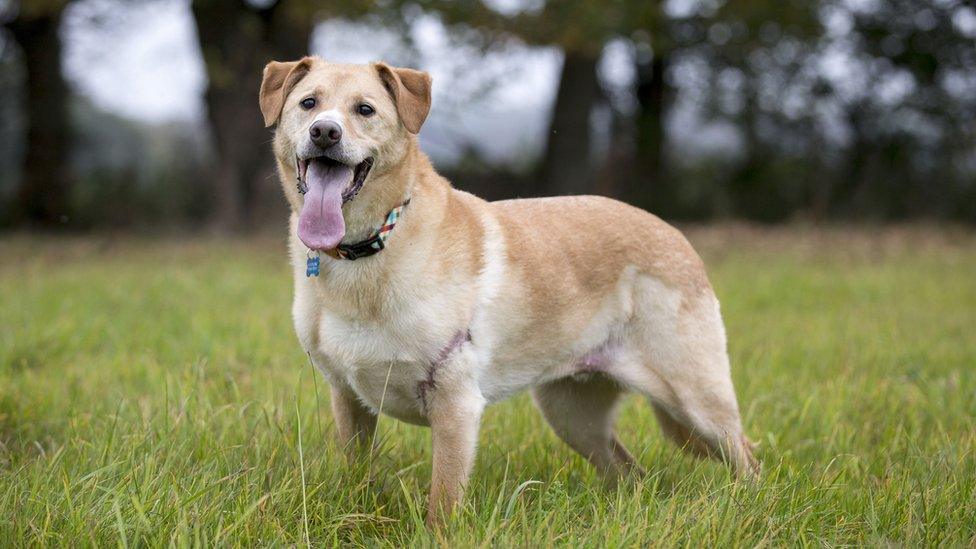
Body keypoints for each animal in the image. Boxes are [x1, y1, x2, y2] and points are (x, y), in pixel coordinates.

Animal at [255, 57, 760, 524]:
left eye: (364, 109)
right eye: (308, 103)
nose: (324, 132)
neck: (370, 248)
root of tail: (676, 234)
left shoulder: (455, 405)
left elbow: (443, 504)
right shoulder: (349, 399)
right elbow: (356, 473)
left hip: (696, 401)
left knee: (746, 459)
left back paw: (746, 509)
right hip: (572, 414)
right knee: (628, 471)